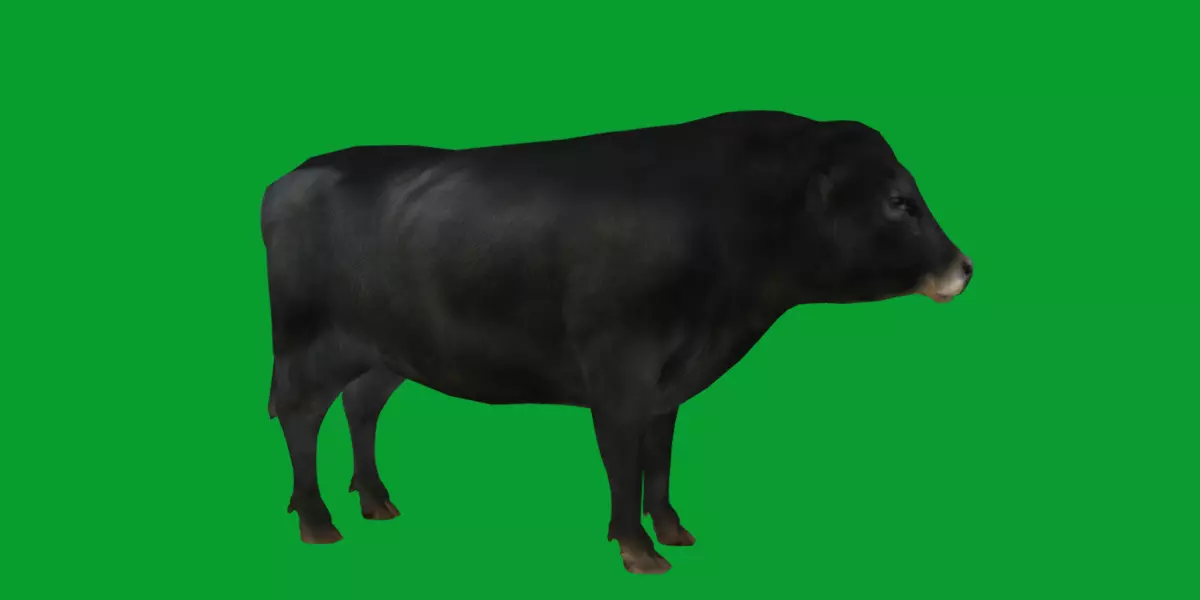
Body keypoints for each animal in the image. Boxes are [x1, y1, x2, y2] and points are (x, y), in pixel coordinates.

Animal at [260, 110, 973, 574]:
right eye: (898, 202)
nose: (964, 267)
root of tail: (292, 176)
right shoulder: (618, 372)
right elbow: (623, 461)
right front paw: (637, 548)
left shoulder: (669, 381)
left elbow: (659, 457)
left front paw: (673, 529)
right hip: (308, 346)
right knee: (300, 416)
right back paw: (318, 522)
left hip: (385, 354)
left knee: (361, 408)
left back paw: (376, 501)